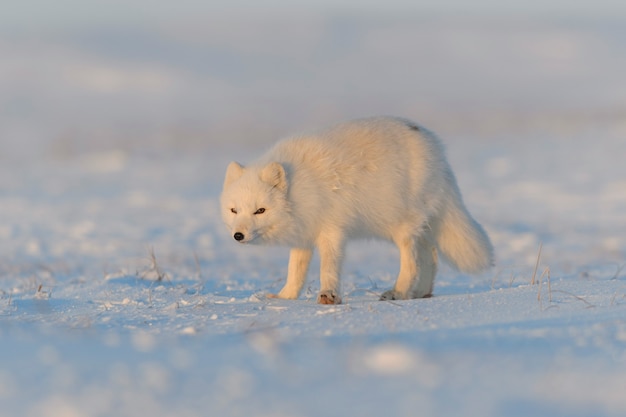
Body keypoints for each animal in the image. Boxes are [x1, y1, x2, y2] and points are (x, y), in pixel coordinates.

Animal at [219, 115, 492, 304]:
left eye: (260, 211)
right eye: (234, 210)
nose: (238, 236)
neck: (301, 188)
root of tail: (437, 150)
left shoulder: (332, 230)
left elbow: (328, 267)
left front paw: (328, 297)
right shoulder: (305, 232)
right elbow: (295, 271)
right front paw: (285, 297)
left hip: (401, 228)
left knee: (413, 262)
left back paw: (398, 292)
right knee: (430, 255)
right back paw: (420, 293)